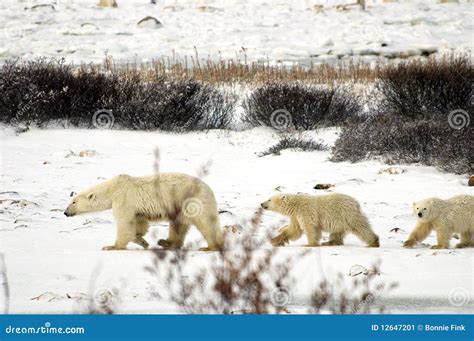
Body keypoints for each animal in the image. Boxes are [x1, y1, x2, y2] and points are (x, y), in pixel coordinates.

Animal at [63, 173, 224, 250]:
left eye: (73, 202)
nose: (65, 212)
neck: (113, 188)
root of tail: (209, 189)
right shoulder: (137, 209)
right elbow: (139, 224)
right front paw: (142, 241)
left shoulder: (123, 199)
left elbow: (125, 223)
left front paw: (111, 246)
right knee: (178, 225)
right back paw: (166, 242)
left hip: (192, 201)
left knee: (206, 224)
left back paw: (210, 247)